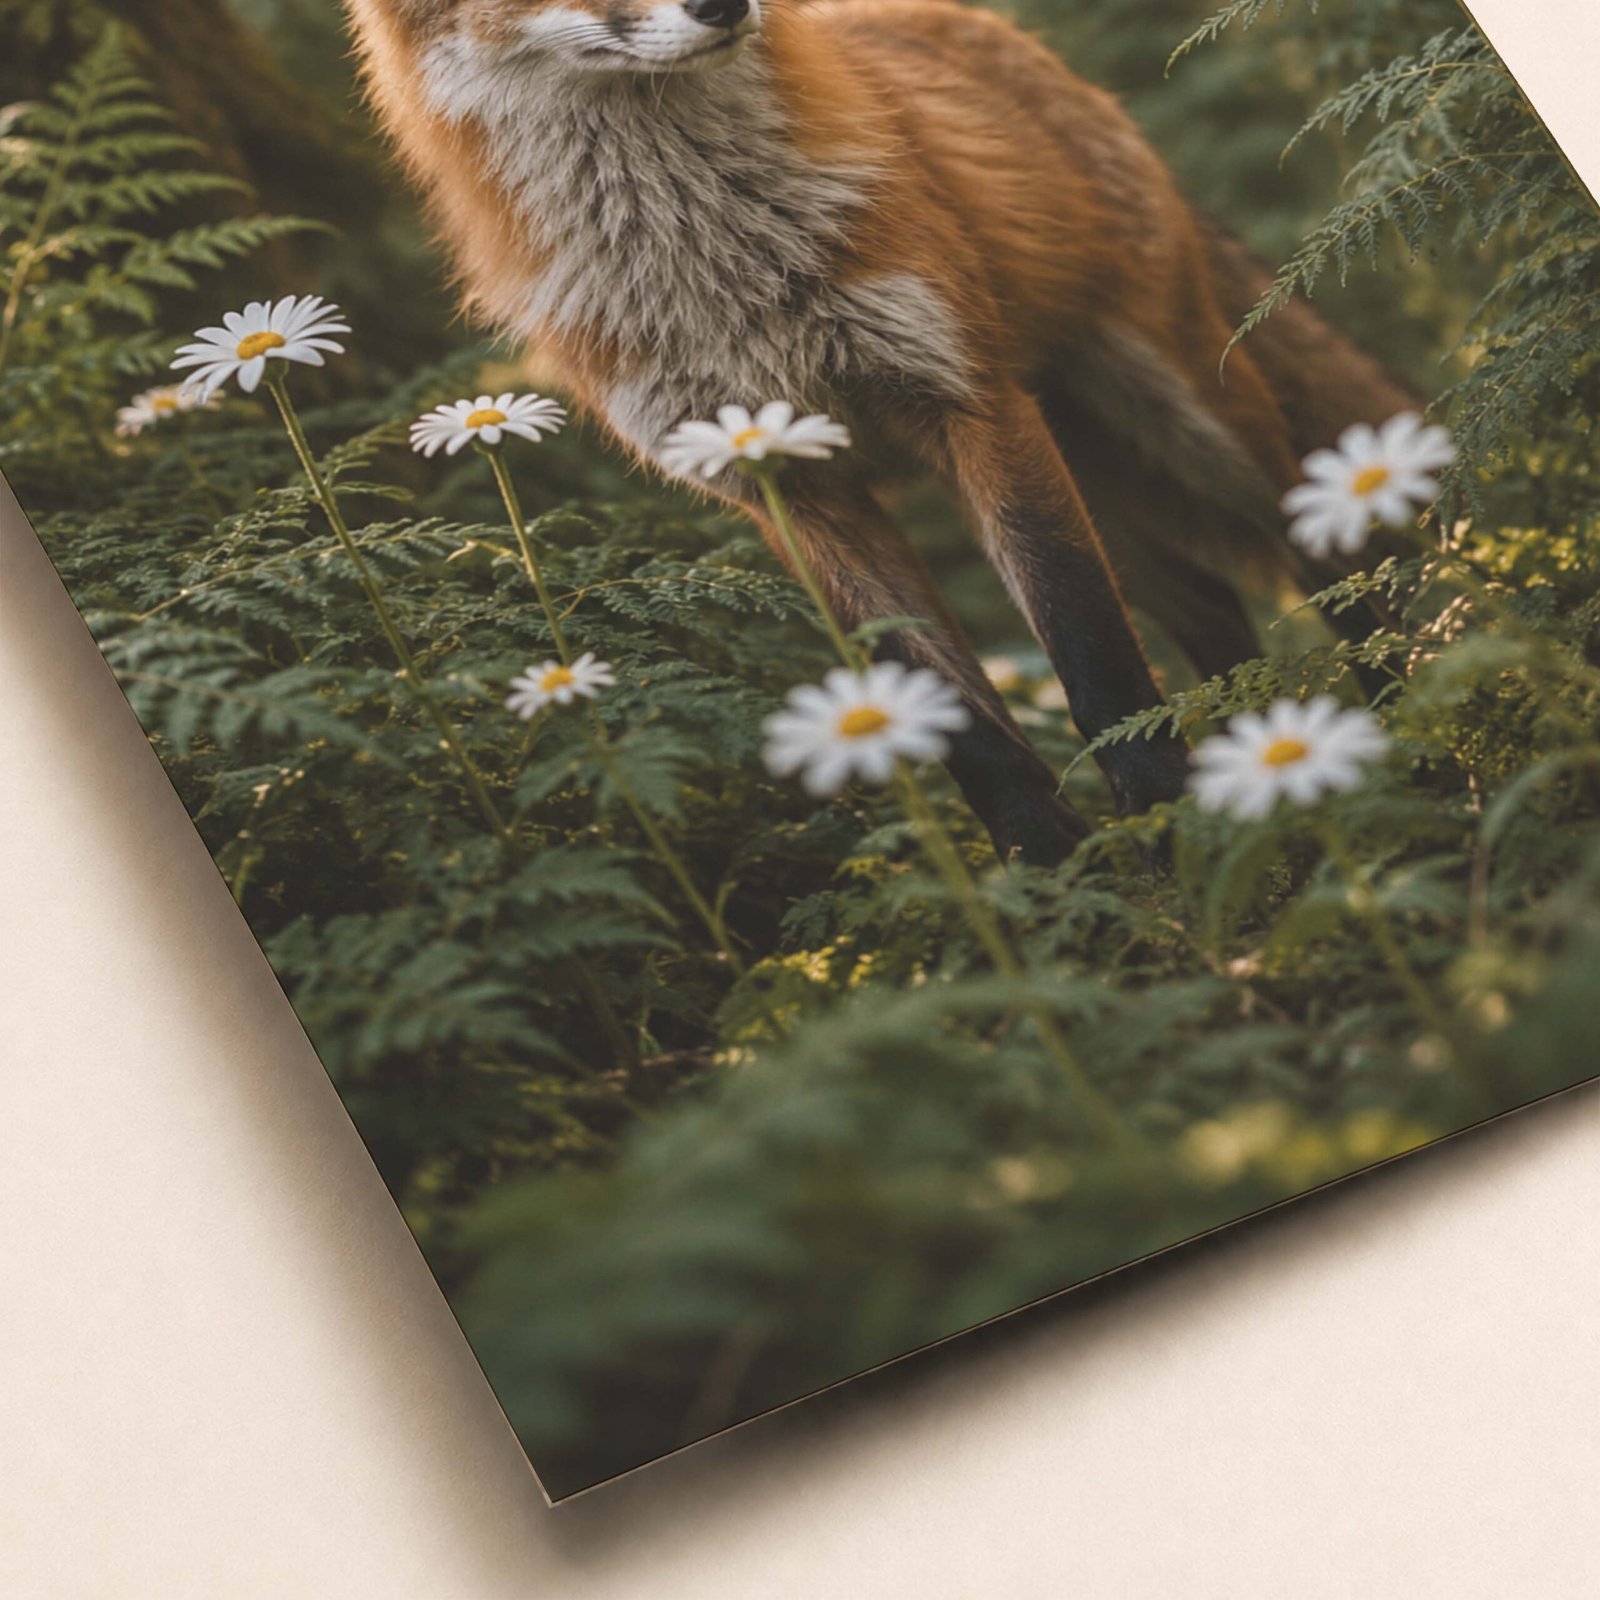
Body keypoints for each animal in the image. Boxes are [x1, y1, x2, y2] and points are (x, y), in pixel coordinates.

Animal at [345, 0, 1414, 865]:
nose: (724, 2)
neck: (715, 268)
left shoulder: (968, 399)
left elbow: (1089, 647)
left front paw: (1159, 828)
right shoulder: (784, 488)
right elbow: (938, 712)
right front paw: (1048, 870)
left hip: (1183, 414)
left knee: (1329, 547)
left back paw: (1393, 737)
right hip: (1104, 479)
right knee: (1209, 605)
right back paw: (1251, 748)